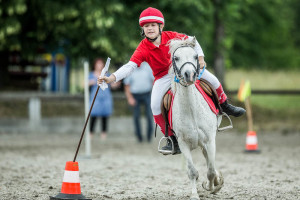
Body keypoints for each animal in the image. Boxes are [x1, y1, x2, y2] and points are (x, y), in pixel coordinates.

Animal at [169, 37, 223, 200]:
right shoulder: (183, 144)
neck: (192, 111)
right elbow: (192, 171)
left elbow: (210, 170)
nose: (190, 75)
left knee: (210, 162)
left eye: (194, 56)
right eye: (176, 58)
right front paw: (194, 194)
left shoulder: (210, 140)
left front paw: (211, 187)